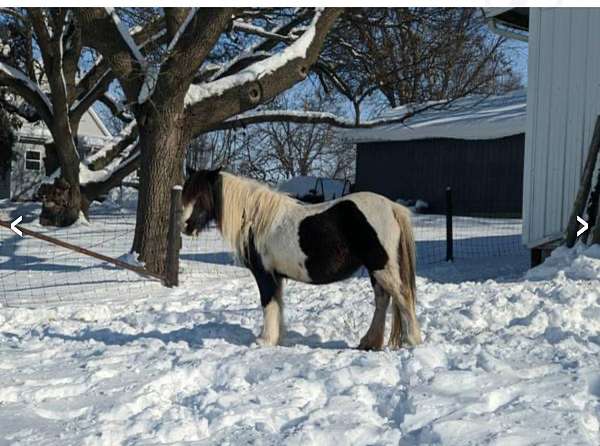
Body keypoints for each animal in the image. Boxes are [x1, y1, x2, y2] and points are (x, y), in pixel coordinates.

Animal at [180, 169, 420, 350]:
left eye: (201, 195)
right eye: (185, 194)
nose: (185, 227)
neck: (256, 219)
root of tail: (392, 207)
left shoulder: (264, 274)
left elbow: (268, 303)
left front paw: (264, 340)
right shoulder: (276, 276)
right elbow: (278, 304)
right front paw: (277, 338)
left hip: (381, 267)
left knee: (402, 296)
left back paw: (413, 340)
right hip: (375, 269)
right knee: (383, 300)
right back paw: (369, 342)